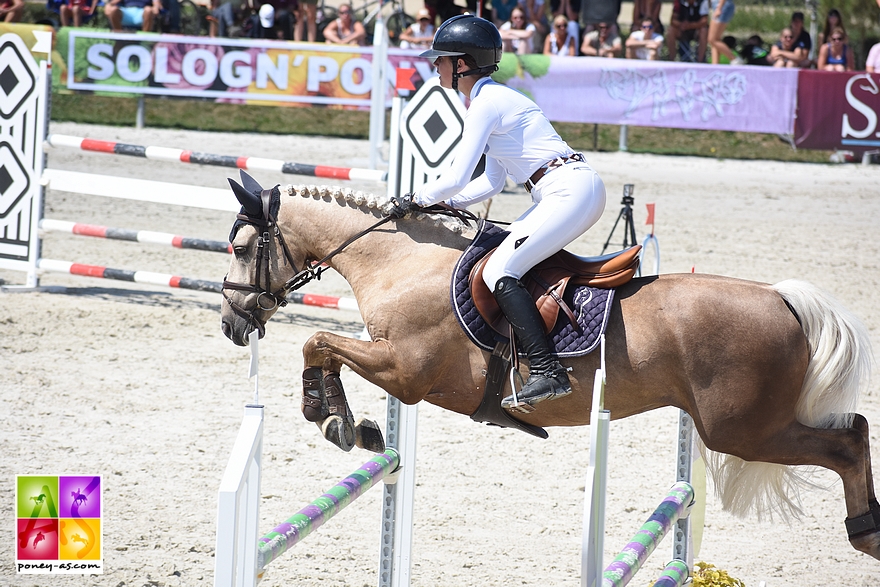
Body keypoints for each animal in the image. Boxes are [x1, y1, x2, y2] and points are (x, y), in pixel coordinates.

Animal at [218, 177, 872, 564]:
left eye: (244, 249)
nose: (231, 323)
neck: (401, 262)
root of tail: (781, 298)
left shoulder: (406, 372)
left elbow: (318, 343)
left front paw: (330, 417)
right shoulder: (395, 365)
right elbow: (326, 349)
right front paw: (355, 425)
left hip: (743, 429)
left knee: (847, 442)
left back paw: (865, 531)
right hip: (745, 428)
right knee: (858, 428)